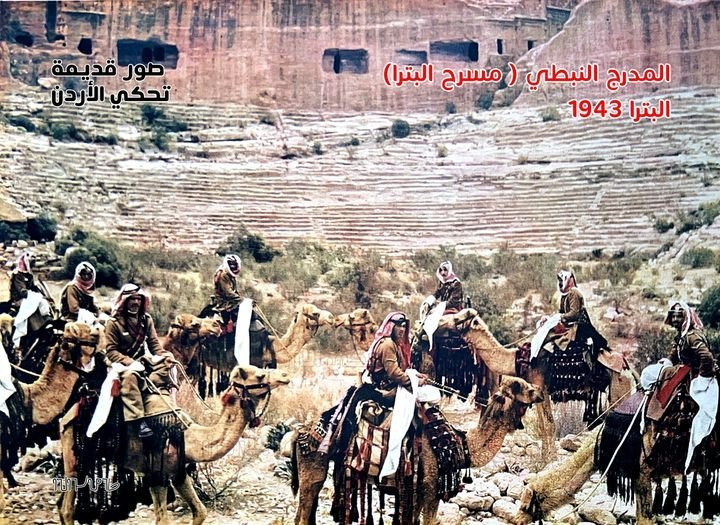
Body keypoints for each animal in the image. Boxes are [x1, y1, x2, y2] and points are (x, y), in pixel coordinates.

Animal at [58, 364, 290, 524]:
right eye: (259, 375)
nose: (285, 376)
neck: (190, 437)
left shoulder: (178, 472)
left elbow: (200, 512)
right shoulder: (156, 475)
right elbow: (162, 519)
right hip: (73, 454)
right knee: (67, 508)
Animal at [290, 374, 544, 524]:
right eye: (521, 387)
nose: (541, 391)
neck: (462, 445)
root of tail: (299, 430)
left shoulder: (417, 490)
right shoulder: (431, 489)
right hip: (313, 464)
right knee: (304, 509)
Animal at [436, 310, 632, 460]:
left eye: (456, 319)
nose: (438, 324)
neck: (516, 359)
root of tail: (628, 368)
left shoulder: (541, 387)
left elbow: (549, 426)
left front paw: (550, 460)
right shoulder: (535, 392)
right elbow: (544, 426)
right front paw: (545, 457)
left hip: (619, 390)